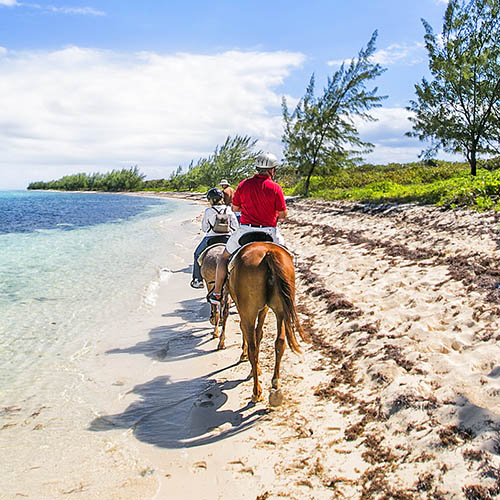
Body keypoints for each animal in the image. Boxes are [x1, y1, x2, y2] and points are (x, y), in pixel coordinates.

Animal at [227, 242, 304, 406]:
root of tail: (268, 253)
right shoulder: (264, 308)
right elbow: (259, 333)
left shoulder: (246, 311)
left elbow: (249, 333)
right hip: (281, 309)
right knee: (280, 342)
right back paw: (275, 386)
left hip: (248, 311)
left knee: (252, 347)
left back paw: (257, 392)